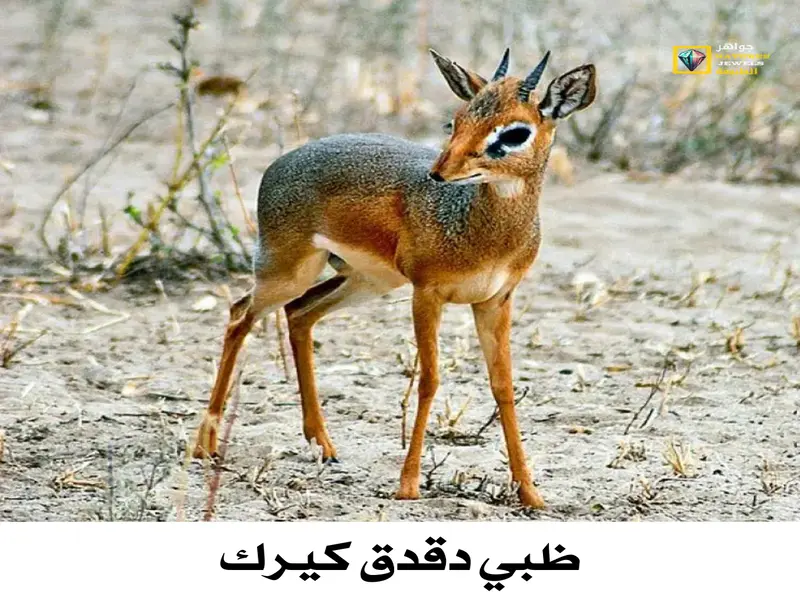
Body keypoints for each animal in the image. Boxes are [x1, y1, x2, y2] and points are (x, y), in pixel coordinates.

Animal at [193, 47, 597, 509]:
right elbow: (429, 381)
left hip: (365, 281)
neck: (481, 230)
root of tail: (282, 161)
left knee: (299, 314)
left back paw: (323, 444)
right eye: (457, 119)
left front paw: (530, 492)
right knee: (239, 315)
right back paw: (204, 445)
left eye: (515, 133)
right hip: (287, 271)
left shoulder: (494, 301)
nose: (440, 171)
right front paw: (408, 485)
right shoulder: (426, 295)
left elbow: (504, 387)